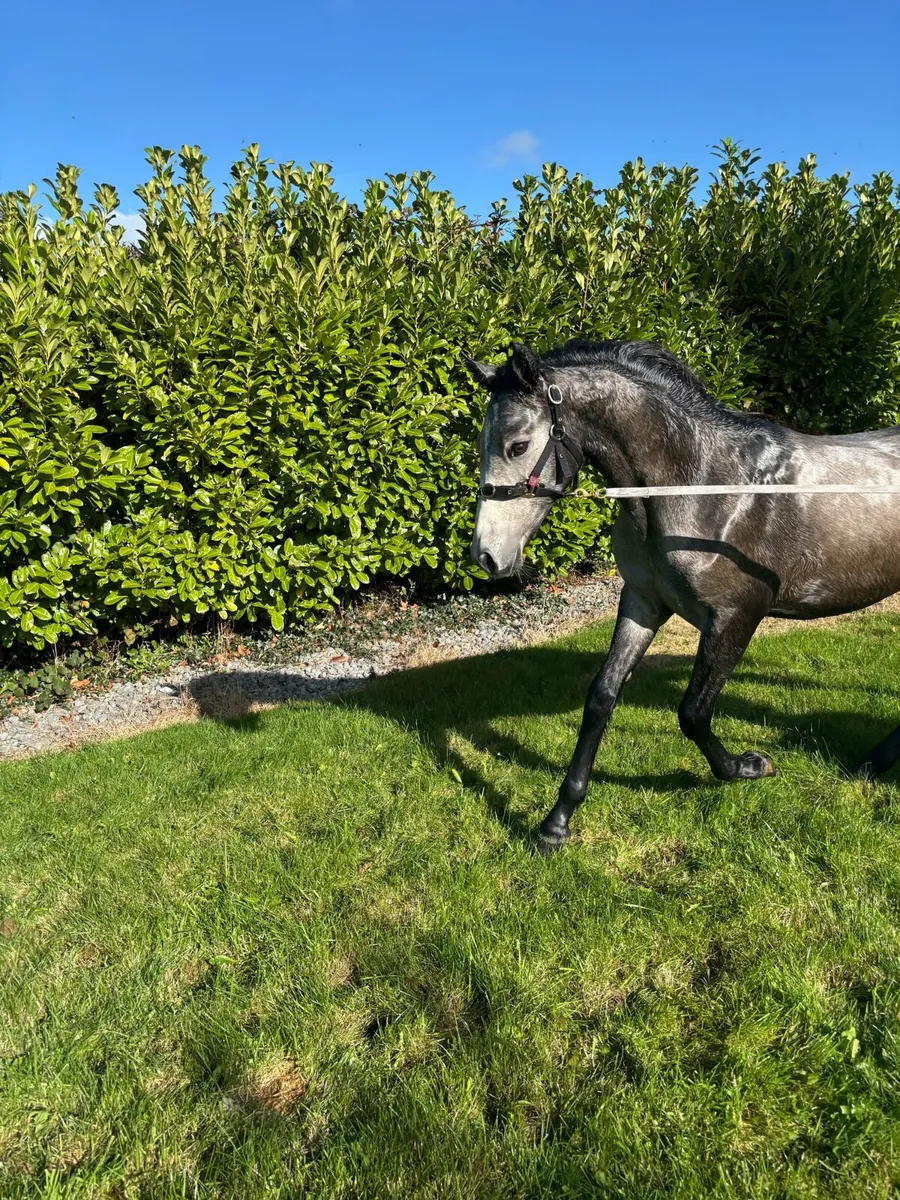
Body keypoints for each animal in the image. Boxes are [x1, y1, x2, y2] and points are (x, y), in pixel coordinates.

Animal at [464, 339, 900, 850]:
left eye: (517, 445)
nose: (487, 555)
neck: (707, 488)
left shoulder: (734, 619)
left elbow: (693, 713)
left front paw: (747, 767)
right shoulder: (643, 603)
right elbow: (602, 697)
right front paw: (557, 822)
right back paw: (871, 762)